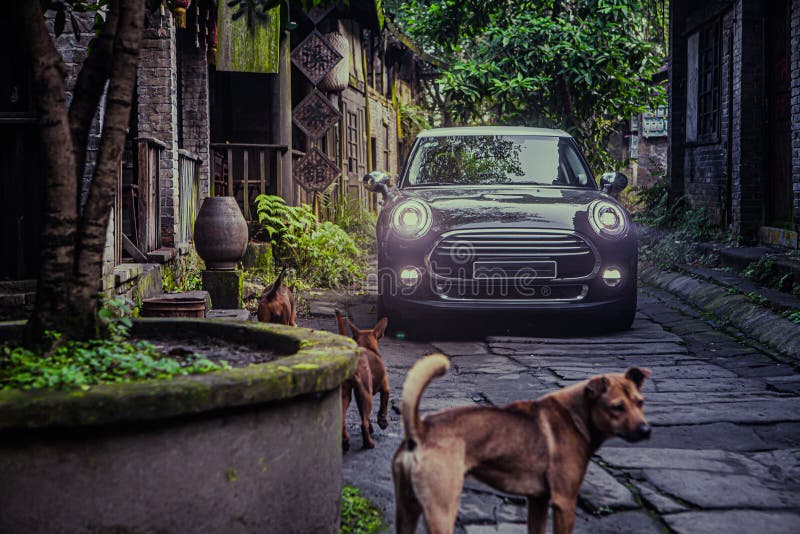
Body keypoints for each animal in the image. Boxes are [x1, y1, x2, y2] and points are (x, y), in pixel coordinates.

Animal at [334, 310, 390, 452]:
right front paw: (382, 421)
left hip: (346, 395)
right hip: (366, 394)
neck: (368, 347)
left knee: (343, 419)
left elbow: (365, 415)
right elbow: (383, 405)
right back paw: (368, 444)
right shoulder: (385, 387)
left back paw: (345, 441)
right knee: (362, 424)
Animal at [394, 356, 648, 534]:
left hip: (407, 511)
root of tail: (420, 430)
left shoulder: (538, 501)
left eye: (640, 402)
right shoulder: (565, 502)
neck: (576, 414)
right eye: (617, 407)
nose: (646, 431)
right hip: (441, 511)